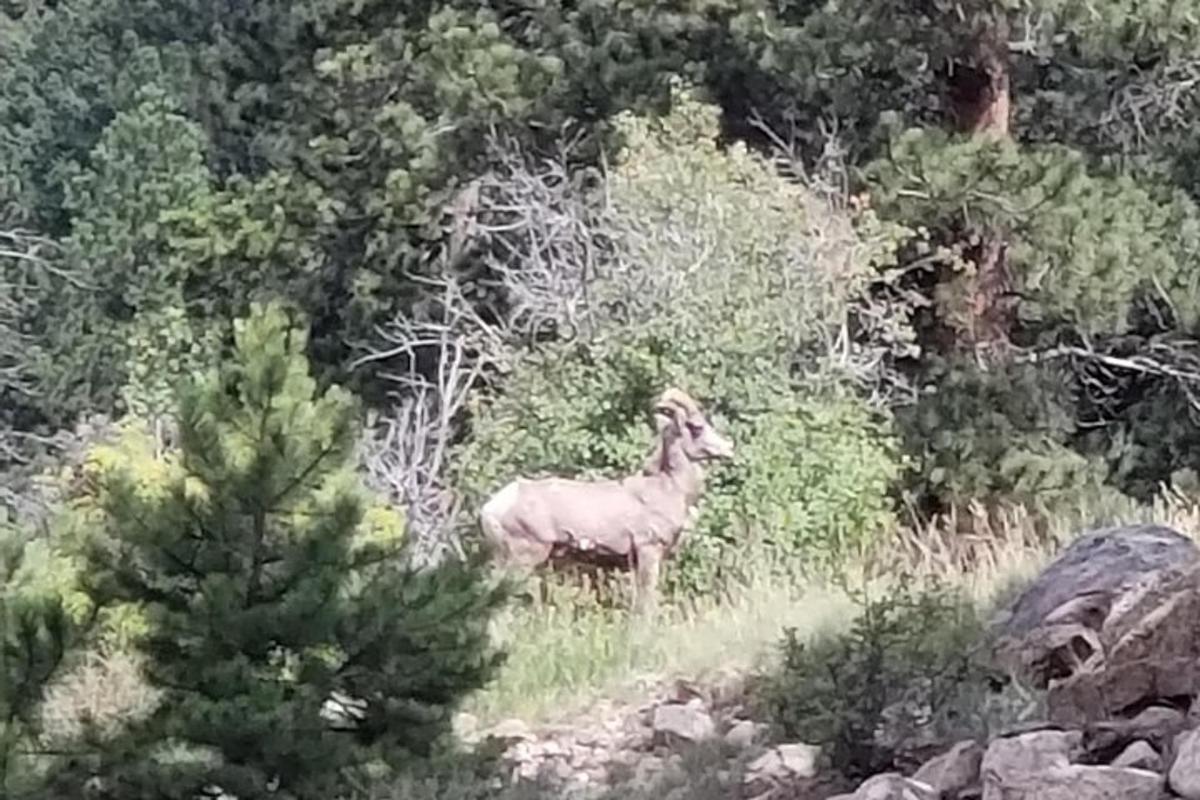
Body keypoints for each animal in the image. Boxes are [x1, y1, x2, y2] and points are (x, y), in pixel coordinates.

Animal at [475, 388, 729, 614]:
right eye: (696, 427)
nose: (728, 448)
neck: (667, 488)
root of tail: (492, 509)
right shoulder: (648, 552)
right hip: (523, 559)